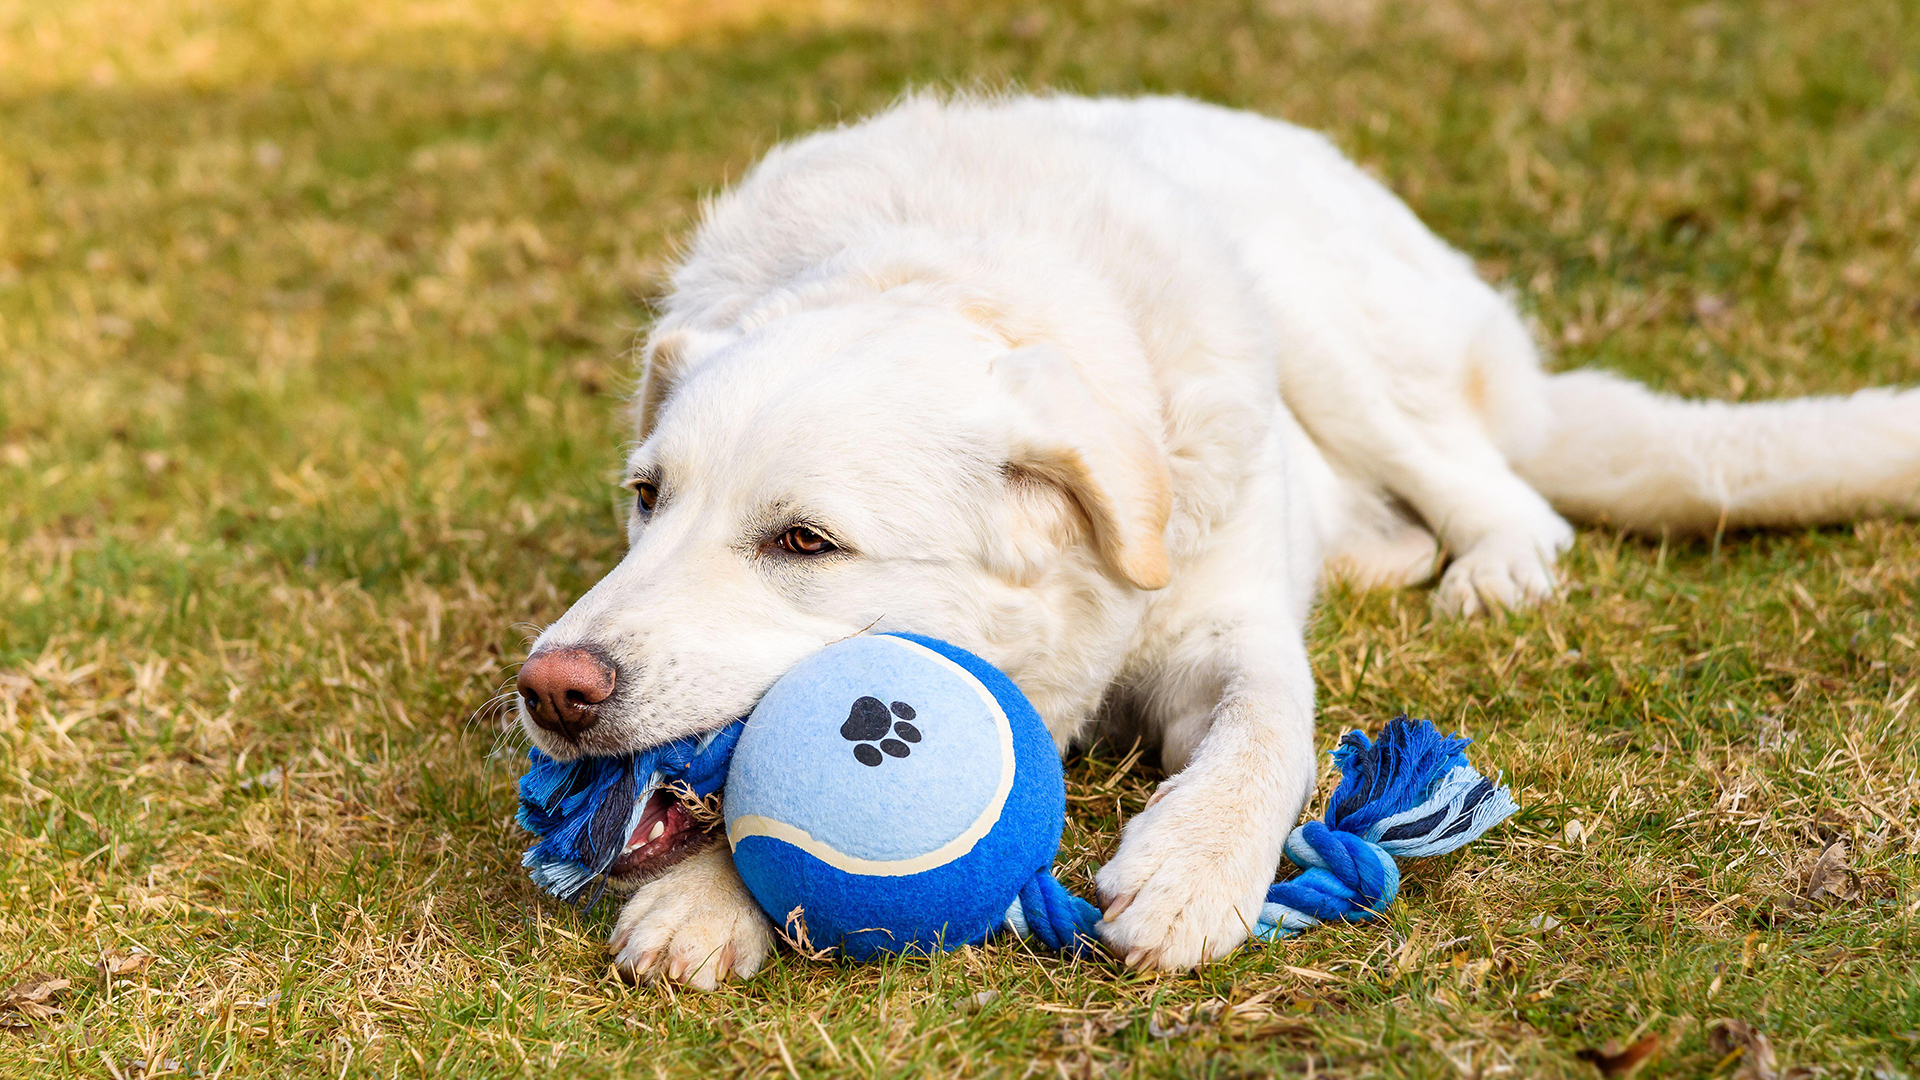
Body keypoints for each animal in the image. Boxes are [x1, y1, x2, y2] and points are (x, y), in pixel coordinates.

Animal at [510, 92, 1920, 983]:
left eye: (804, 542)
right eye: (648, 497)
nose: (549, 690)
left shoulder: (1228, 634)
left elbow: (1266, 735)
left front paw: (1191, 872)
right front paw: (708, 900)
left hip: (1325, 333)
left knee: (1500, 490)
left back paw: (1491, 566)